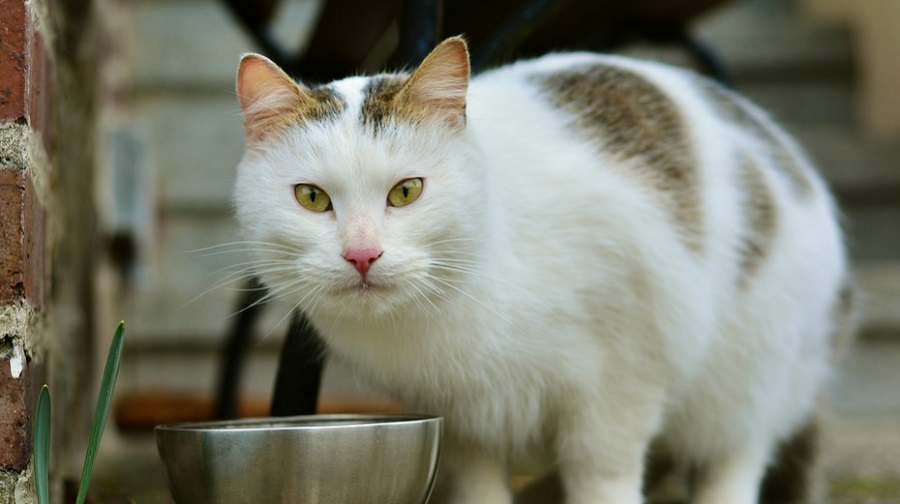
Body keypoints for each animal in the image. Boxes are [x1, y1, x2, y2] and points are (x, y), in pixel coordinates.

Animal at [230, 36, 852, 504]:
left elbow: (603, 473)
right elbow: (477, 483)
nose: (362, 254)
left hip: (749, 372)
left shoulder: (623, 374)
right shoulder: (460, 417)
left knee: (737, 457)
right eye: (312, 198)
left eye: (406, 191)